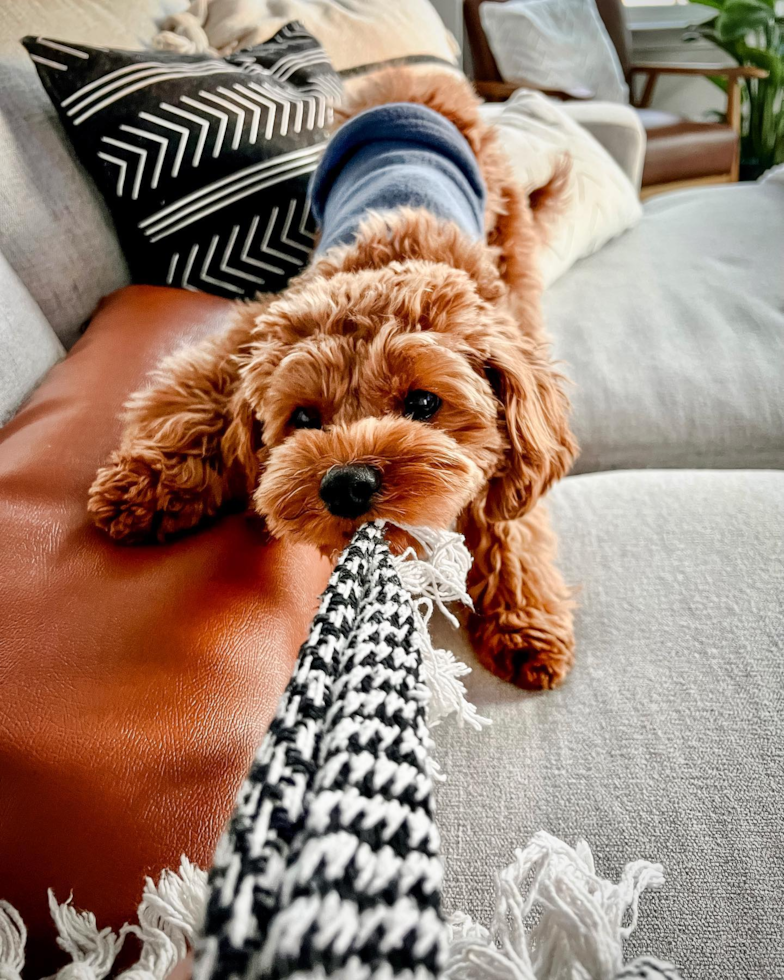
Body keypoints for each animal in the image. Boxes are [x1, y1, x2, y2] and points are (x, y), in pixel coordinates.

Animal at [89, 71, 576, 688]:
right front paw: (142, 484)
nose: (346, 485)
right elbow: (200, 399)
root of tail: (414, 79)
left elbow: (512, 518)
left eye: (424, 403)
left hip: (509, 235)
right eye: (303, 417)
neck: (389, 260)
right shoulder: (249, 334)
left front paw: (525, 619)